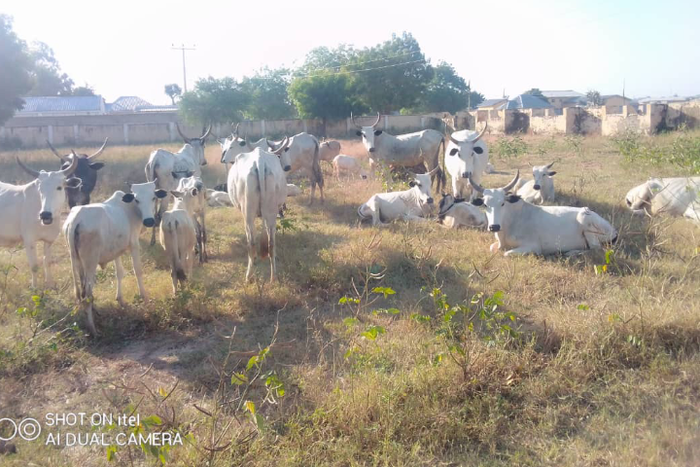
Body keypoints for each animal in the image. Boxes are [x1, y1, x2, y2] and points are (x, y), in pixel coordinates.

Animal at [0, 157, 80, 288]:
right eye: (40, 189)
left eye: (59, 187)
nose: (45, 214)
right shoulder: (29, 241)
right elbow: (34, 266)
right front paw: (34, 287)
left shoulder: (49, 240)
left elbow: (47, 262)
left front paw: (50, 285)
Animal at [63, 181, 167, 335]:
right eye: (137, 200)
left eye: (153, 197)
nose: (149, 221)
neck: (129, 208)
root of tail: (75, 221)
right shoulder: (134, 245)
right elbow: (138, 271)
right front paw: (145, 299)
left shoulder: (116, 251)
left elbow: (119, 273)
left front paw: (120, 299)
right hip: (90, 262)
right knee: (87, 295)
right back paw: (93, 329)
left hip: (76, 262)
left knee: (81, 293)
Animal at [227, 139, 291, 282]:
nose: (287, 167)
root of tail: (260, 162)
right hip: (271, 212)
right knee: (271, 243)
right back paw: (273, 278)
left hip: (248, 213)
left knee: (251, 244)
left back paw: (249, 277)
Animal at [468, 171, 618, 256]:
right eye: (485, 205)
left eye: (502, 203)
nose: (494, 227)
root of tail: (613, 229)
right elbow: (491, 248)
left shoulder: (533, 247)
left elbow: (506, 254)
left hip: (585, 221)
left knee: (596, 249)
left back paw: (571, 252)